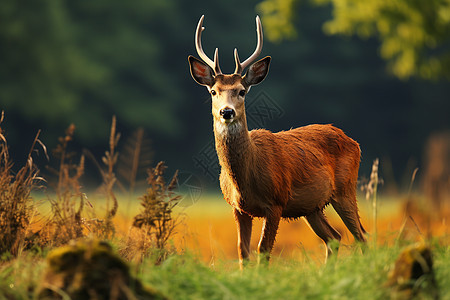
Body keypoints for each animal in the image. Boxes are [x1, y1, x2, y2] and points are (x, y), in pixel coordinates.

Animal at [186, 14, 366, 270]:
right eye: (213, 91)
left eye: (241, 91)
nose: (226, 112)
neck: (245, 179)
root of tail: (354, 142)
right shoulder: (237, 207)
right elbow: (242, 251)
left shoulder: (276, 202)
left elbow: (263, 250)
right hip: (312, 206)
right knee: (335, 237)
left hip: (345, 188)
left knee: (361, 236)